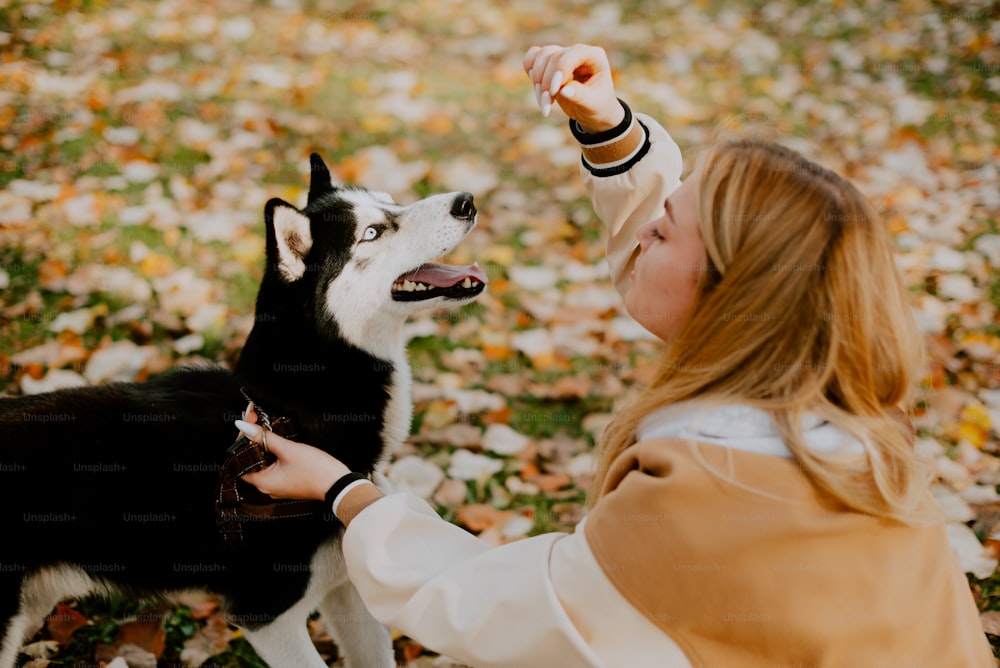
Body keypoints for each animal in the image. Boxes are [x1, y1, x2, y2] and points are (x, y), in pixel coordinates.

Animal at [0, 153, 488, 668]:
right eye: (372, 232)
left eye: (392, 202)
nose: (466, 201)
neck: (292, 411)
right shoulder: (268, 616)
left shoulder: (353, 583)